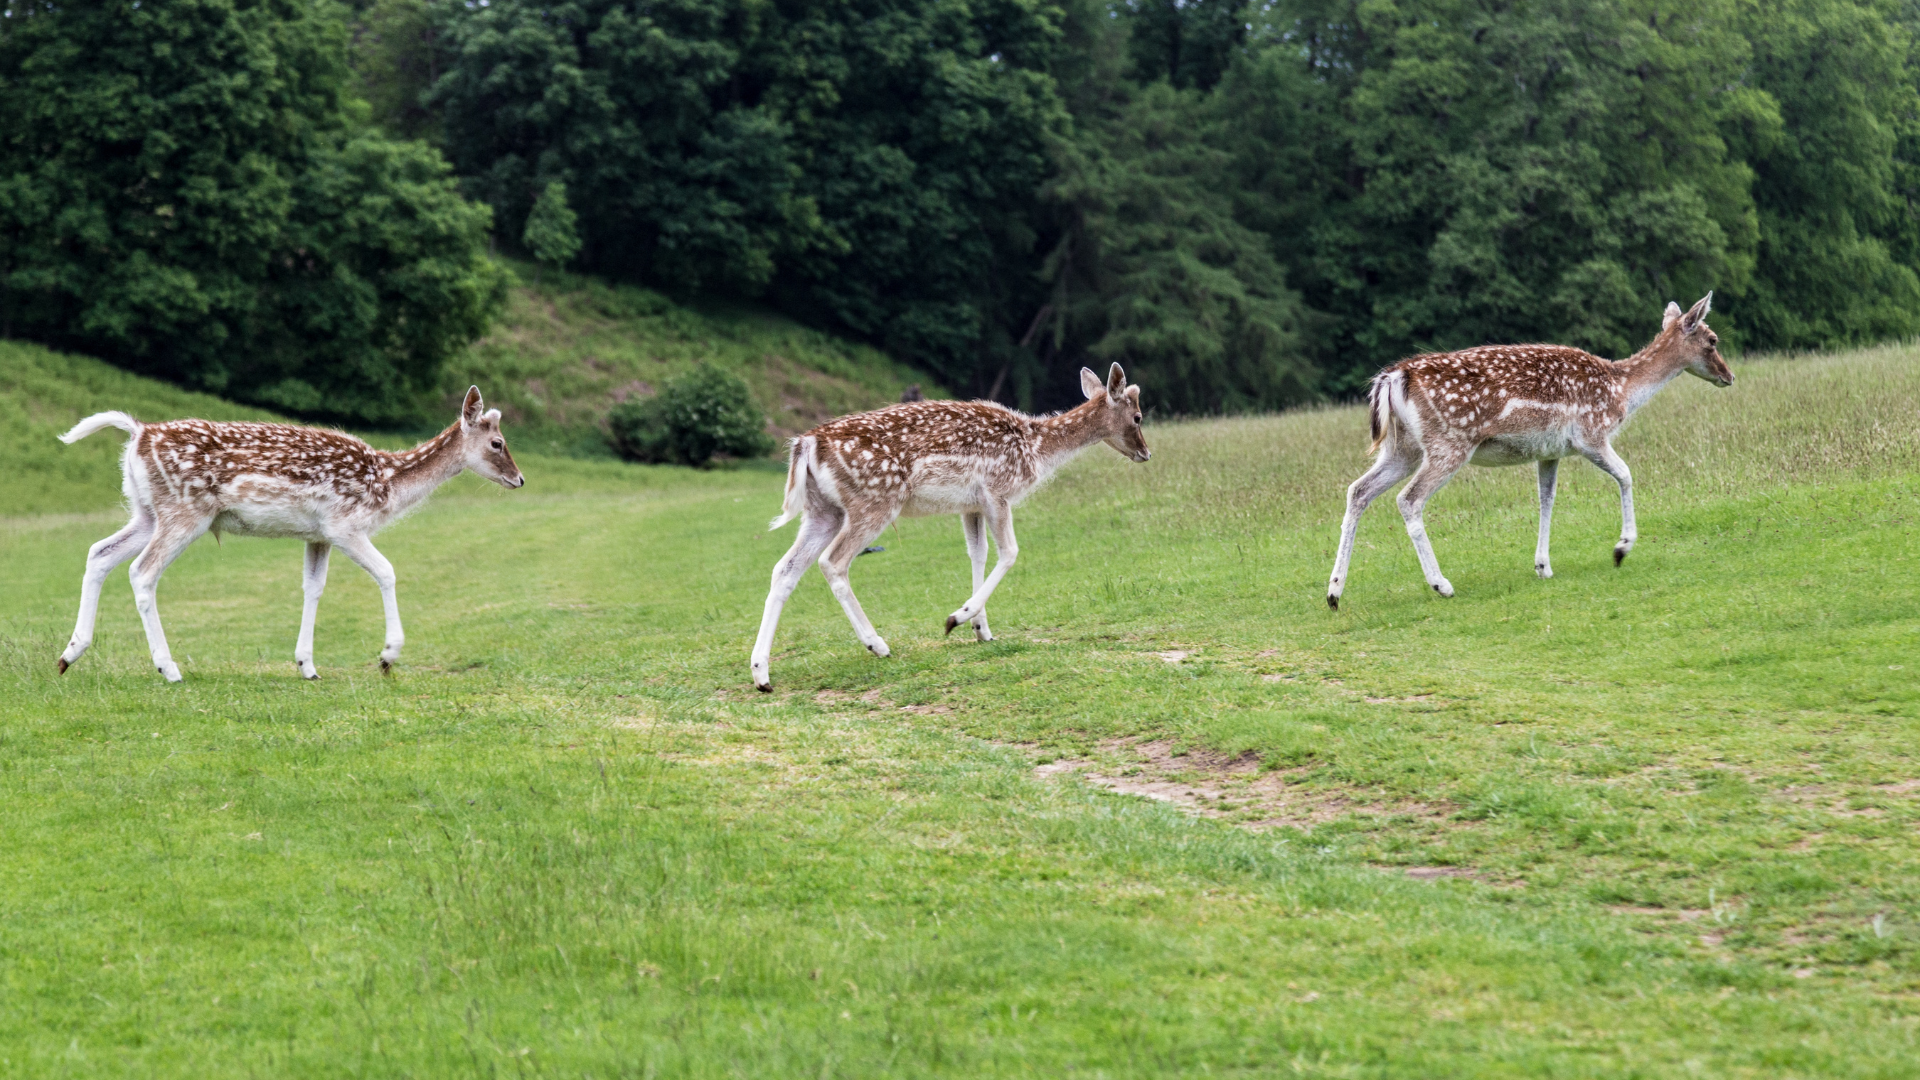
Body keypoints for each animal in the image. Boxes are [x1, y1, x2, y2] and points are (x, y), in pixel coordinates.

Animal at [55, 387, 524, 682]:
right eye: (498, 443)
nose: (519, 480)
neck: (387, 484)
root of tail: (137, 433)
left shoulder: (317, 535)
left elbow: (313, 588)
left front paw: (307, 666)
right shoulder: (344, 524)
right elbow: (387, 571)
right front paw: (388, 657)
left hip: (146, 511)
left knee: (99, 552)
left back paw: (68, 655)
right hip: (185, 512)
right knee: (142, 571)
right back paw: (168, 669)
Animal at [750, 363, 1150, 691]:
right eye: (1138, 416)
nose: (1146, 454)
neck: (1035, 449)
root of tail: (805, 444)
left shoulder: (970, 504)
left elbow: (979, 553)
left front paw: (982, 630)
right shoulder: (996, 491)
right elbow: (1009, 552)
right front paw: (957, 618)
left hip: (822, 511)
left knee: (784, 569)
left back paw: (761, 674)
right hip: (874, 501)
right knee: (833, 562)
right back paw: (877, 645)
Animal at [1327, 293, 1733, 608]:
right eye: (1713, 339)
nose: (1729, 376)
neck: (1622, 391)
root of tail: (1393, 378)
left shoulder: (1549, 451)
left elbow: (1546, 499)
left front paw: (1543, 566)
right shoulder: (1590, 434)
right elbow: (1626, 474)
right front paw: (1622, 547)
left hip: (1402, 448)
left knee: (1358, 490)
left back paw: (1334, 593)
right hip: (1449, 442)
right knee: (1408, 499)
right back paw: (1441, 585)